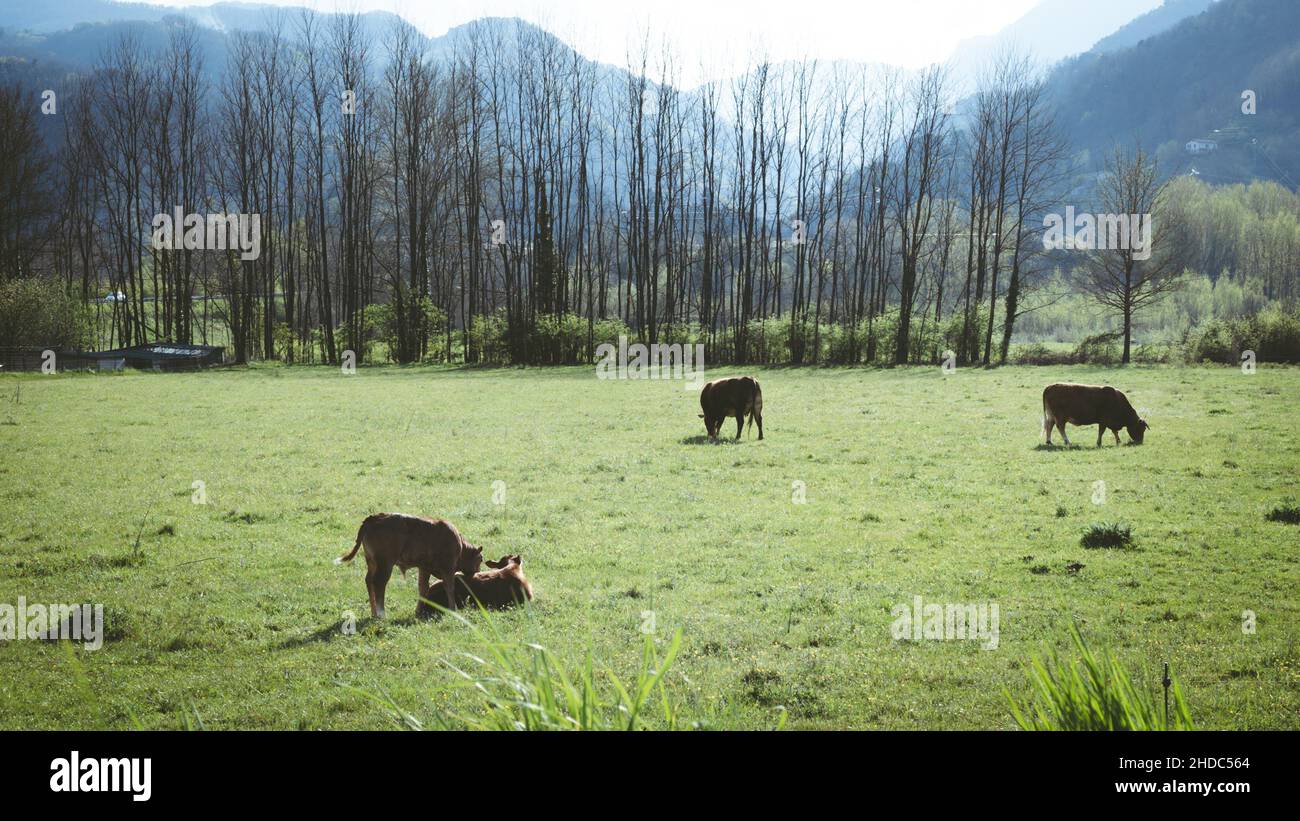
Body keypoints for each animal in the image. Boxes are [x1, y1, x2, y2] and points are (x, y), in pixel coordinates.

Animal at [336, 513, 483, 619]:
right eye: (481, 559)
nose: (477, 572)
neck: (460, 544)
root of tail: (373, 518)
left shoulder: (424, 568)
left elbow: (423, 589)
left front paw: (418, 612)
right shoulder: (448, 568)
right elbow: (450, 588)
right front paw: (453, 609)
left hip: (372, 563)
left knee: (369, 581)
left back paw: (374, 613)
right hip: (385, 564)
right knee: (379, 583)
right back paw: (382, 614)